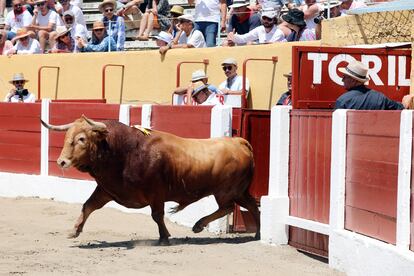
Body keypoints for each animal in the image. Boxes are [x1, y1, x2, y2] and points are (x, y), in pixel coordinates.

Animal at [39, 115, 258, 245]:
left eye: (82, 139)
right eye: (67, 136)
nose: (61, 161)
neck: (124, 151)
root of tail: (239, 141)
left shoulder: (156, 193)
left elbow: (157, 215)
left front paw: (164, 238)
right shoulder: (107, 189)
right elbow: (88, 206)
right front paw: (74, 231)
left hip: (225, 191)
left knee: (228, 207)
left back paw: (198, 225)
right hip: (239, 191)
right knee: (252, 207)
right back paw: (257, 234)